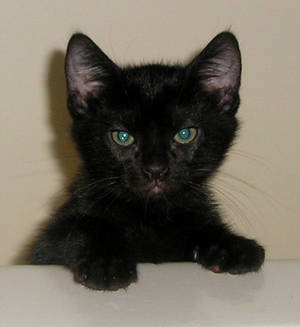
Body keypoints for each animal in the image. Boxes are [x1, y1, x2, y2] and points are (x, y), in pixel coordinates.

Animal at [29, 32, 264, 290]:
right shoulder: (50, 241)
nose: (155, 170)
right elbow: (79, 229)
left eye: (185, 134)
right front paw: (105, 260)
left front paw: (228, 245)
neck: (151, 216)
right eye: (122, 137)